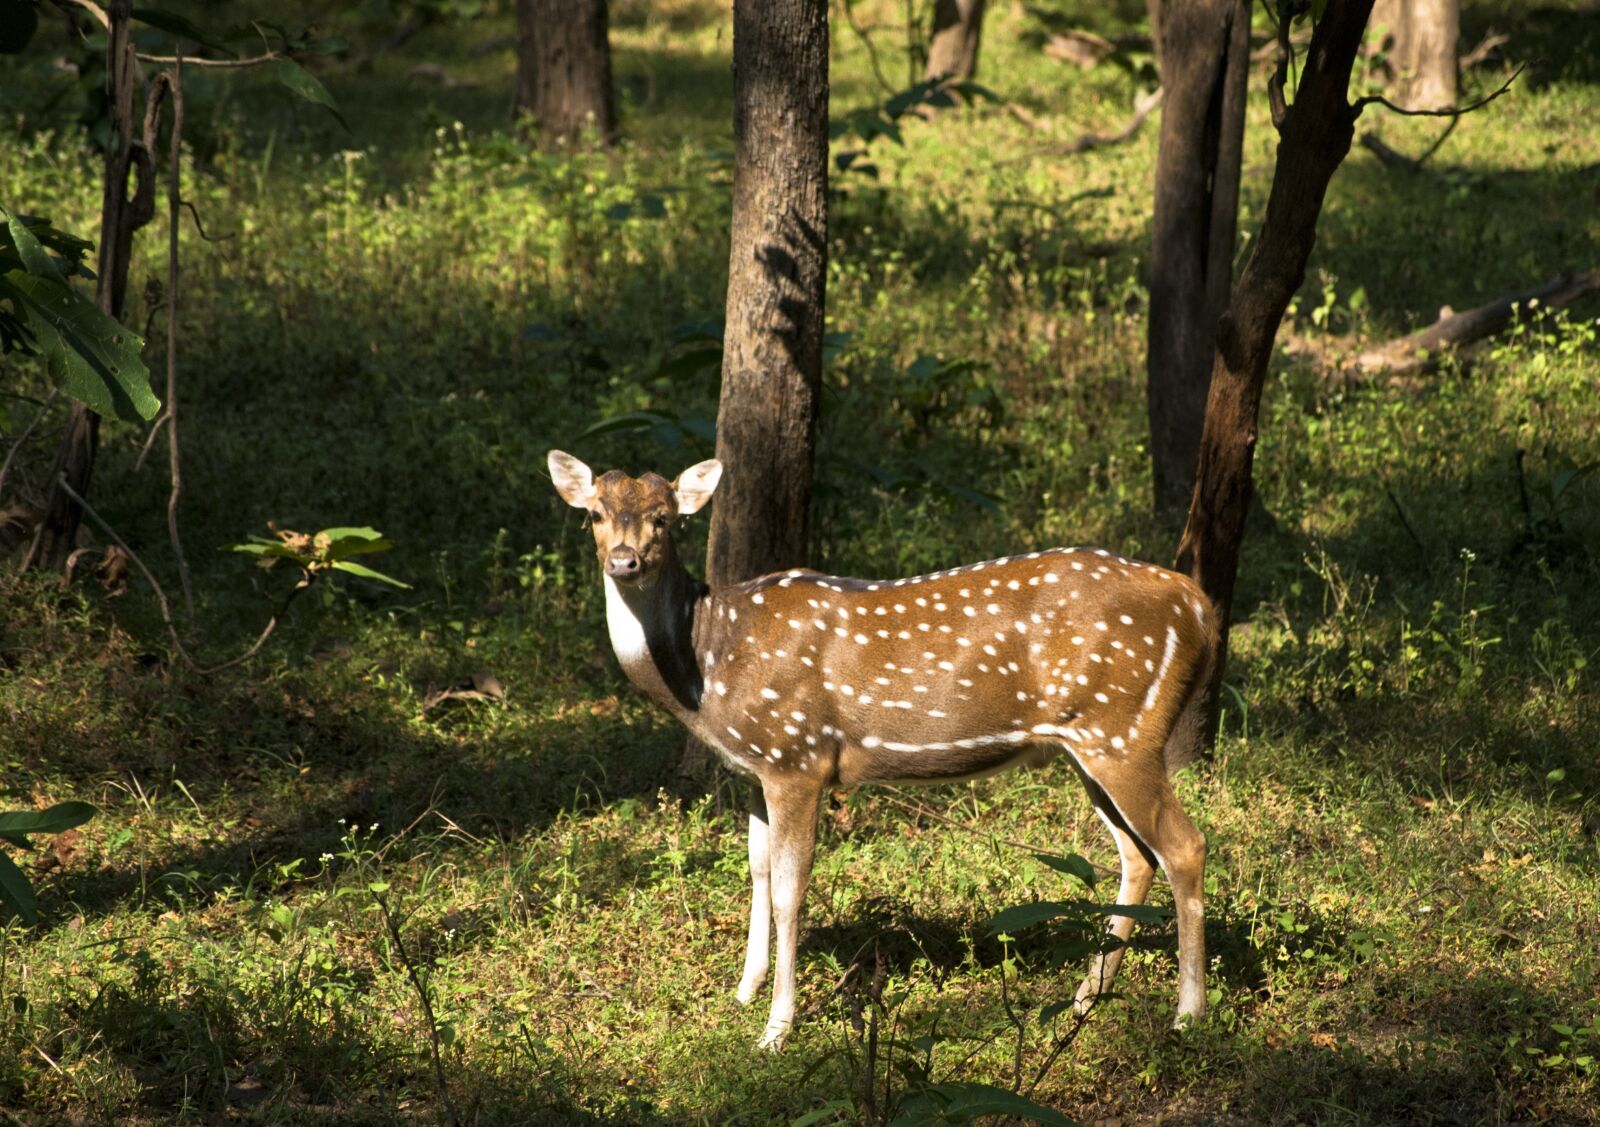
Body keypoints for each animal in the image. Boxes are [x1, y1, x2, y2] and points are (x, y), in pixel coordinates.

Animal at [548, 449, 1220, 1050]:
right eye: (594, 514)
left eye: (665, 517)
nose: (625, 560)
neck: (706, 666)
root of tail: (1199, 605)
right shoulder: (755, 770)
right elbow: (757, 871)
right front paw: (742, 993)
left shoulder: (798, 757)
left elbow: (791, 891)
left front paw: (775, 1030)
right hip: (1089, 743)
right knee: (1137, 856)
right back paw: (1082, 1003)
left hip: (1123, 731)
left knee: (1185, 846)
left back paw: (1188, 1015)